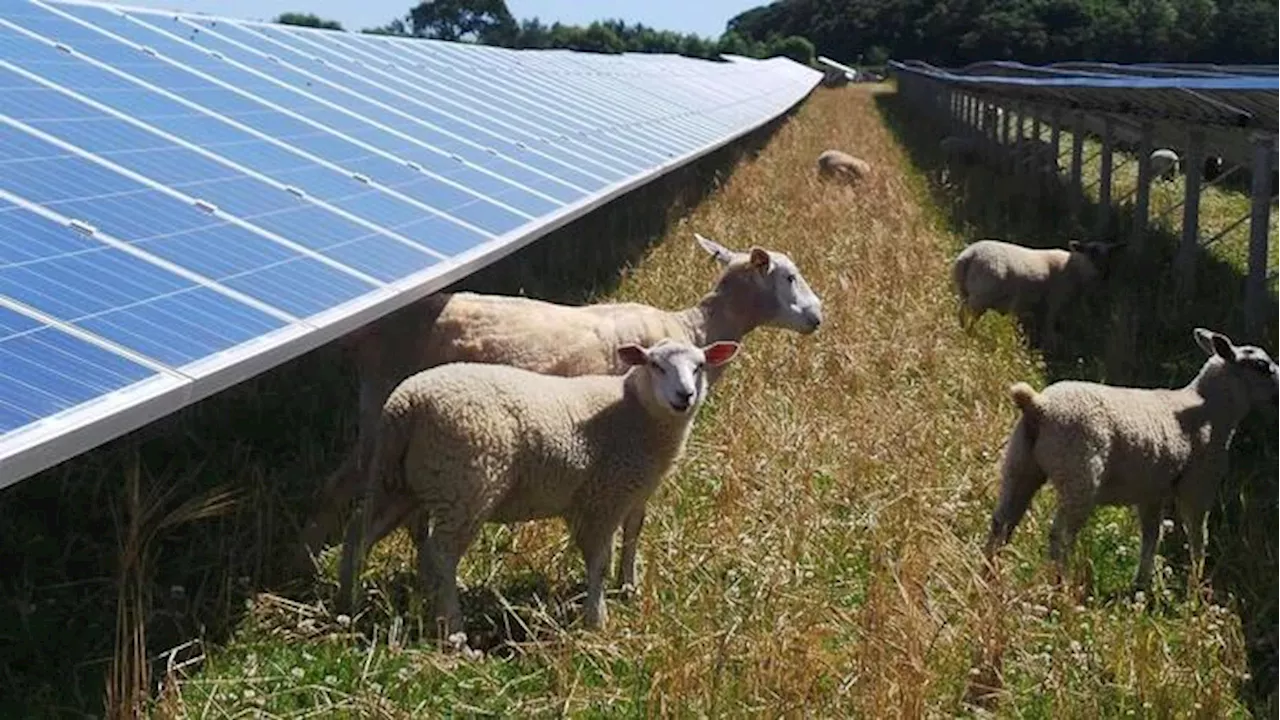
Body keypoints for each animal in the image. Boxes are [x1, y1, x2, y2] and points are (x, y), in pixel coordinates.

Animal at [304, 233, 824, 586]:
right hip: (383, 418)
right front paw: (627, 583)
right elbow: (634, 520)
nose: (818, 318)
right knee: (338, 490)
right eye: (789, 276)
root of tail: (368, 335)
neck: (695, 329)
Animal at [335, 335, 747, 627]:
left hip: (399, 483)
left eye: (699, 366)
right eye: (655, 365)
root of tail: (405, 404)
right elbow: (599, 558)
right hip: (466, 485)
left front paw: (627, 586)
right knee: (441, 553)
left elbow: (632, 536)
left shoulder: (633, 492)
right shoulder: (602, 497)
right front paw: (596, 618)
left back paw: (348, 603)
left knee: (358, 534)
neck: (634, 414)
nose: (684, 395)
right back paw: (454, 629)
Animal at [952, 237, 1121, 345]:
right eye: (1092, 252)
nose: (1106, 274)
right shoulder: (1054, 302)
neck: (1075, 268)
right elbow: (1049, 328)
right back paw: (970, 336)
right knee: (969, 317)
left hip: (965, 292)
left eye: (1109, 255)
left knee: (962, 313)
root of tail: (969, 256)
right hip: (981, 296)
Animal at [983, 327, 1280, 586]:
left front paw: (1142, 585)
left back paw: (988, 577)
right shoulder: (1197, 486)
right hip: (1079, 473)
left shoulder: (1152, 491)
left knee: (1002, 524)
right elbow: (1198, 539)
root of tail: (1038, 406)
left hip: (1020, 464)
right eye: (1261, 366)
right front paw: (1196, 589)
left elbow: (1152, 536)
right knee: (1061, 535)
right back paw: (1060, 586)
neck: (1211, 409)